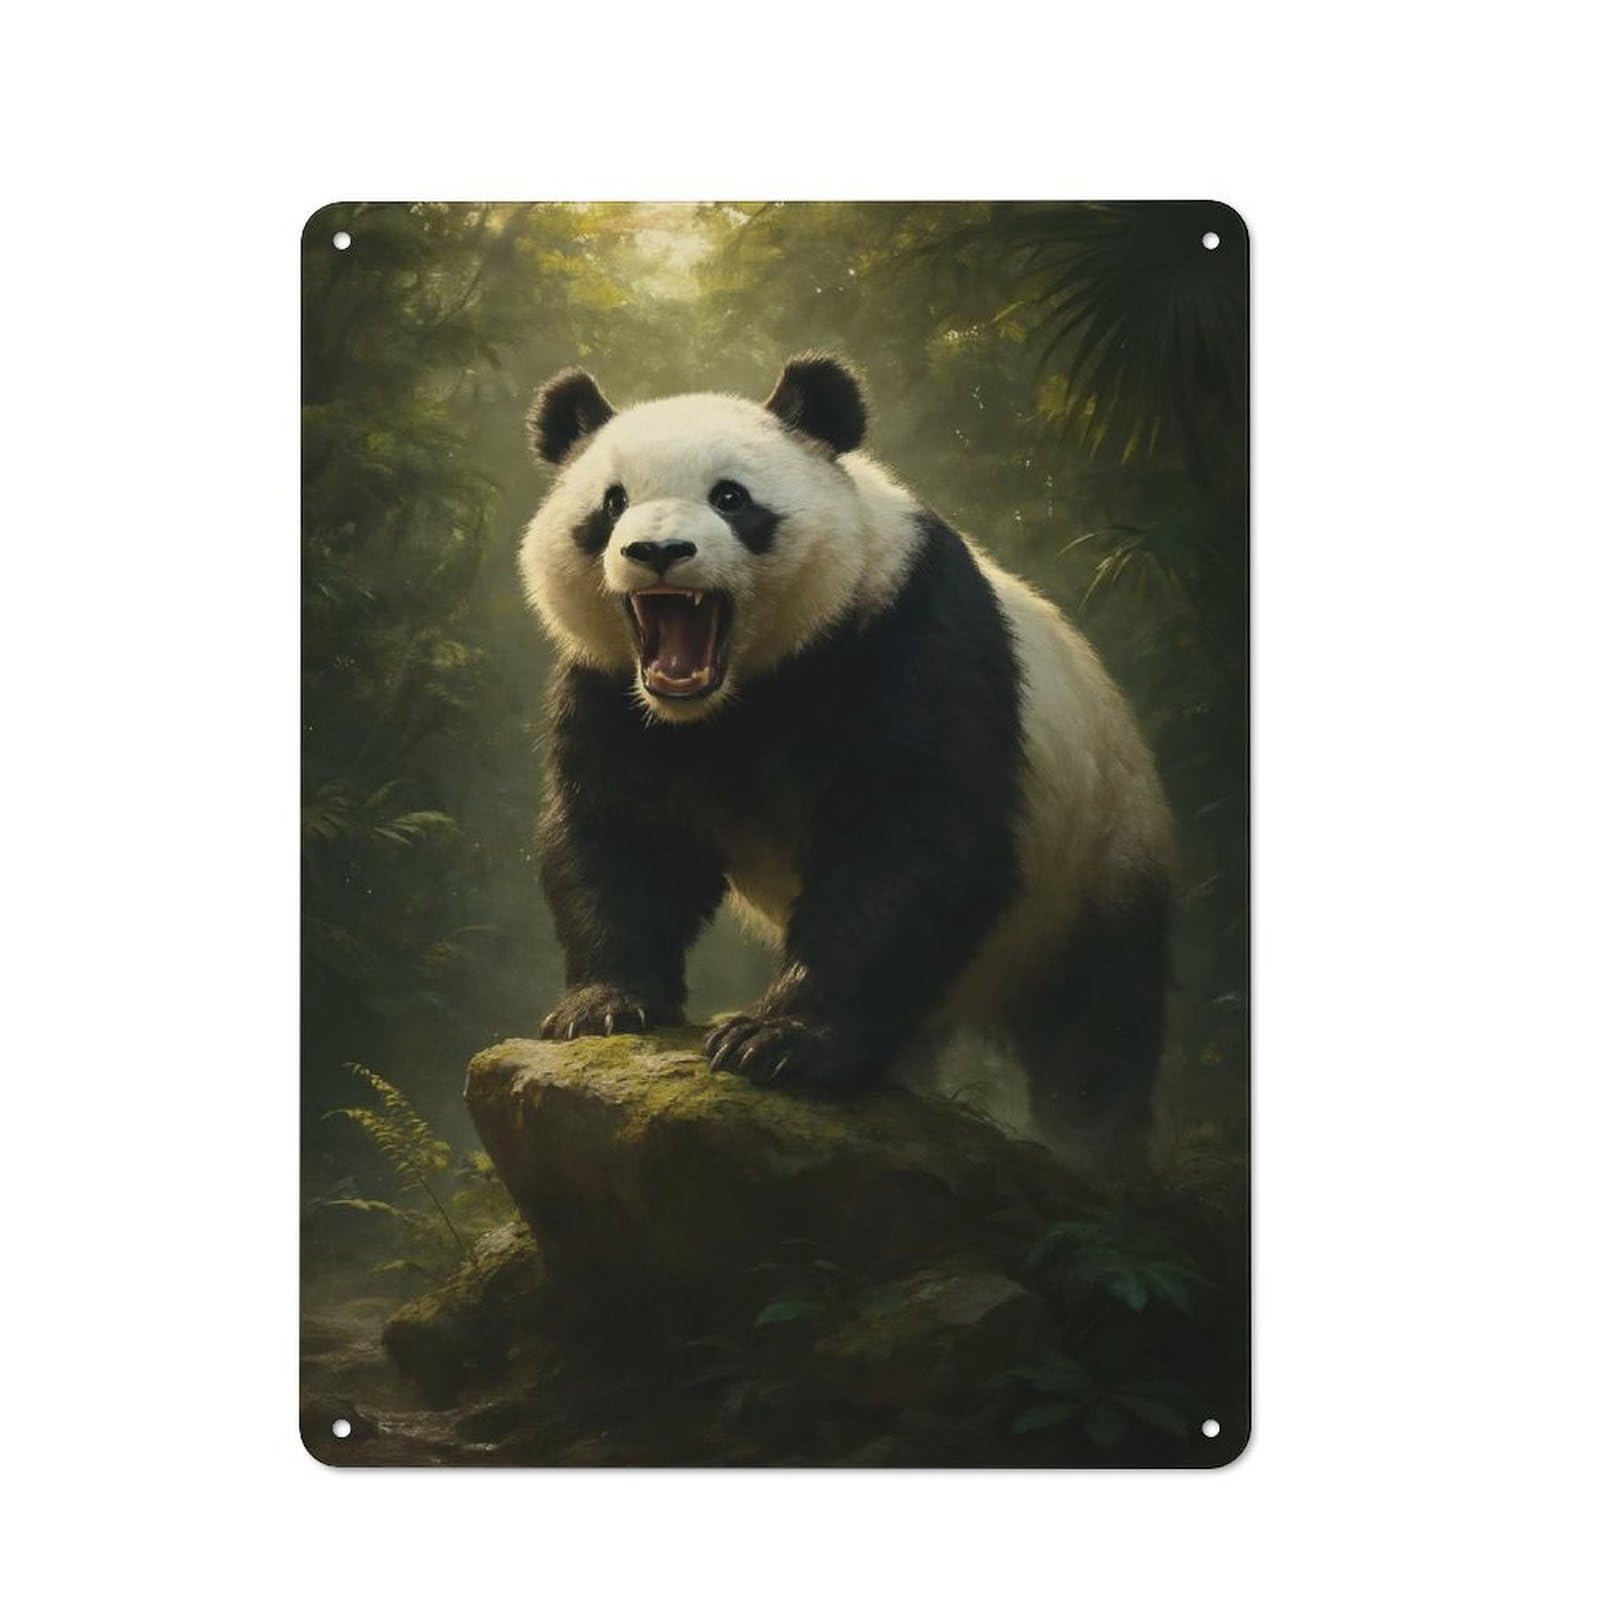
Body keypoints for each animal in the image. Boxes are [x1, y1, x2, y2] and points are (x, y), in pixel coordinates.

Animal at [519, 354, 1176, 1179]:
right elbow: (621, 834)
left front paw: (774, 1041)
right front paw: (603, 1006)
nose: (658, 552)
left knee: (1094, 1026)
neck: (736, 694)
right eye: (611, 504)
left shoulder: (902, 628)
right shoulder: (612, 688)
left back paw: (1093, 1151)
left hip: (1098, 860)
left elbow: (911, 840)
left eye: (731, 498)